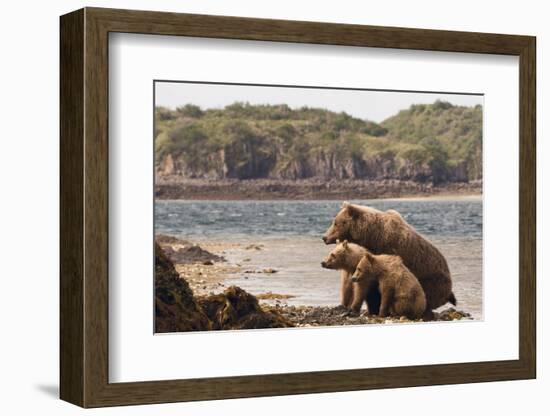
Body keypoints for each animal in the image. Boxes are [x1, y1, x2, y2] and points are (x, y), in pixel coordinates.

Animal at [324, 202, 458, 318]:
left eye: (335, 223)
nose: (324, 237)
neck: (370, 235)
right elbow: (348, 282)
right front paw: (344, 305)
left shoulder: (385, 249)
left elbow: (371, 285)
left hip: (431, 281)